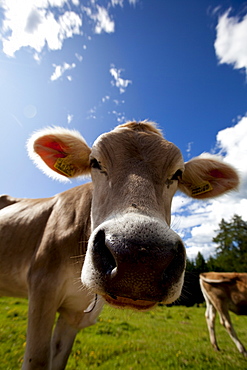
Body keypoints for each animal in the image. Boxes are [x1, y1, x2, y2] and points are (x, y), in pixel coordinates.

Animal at [0, 120, 239, 368]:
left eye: (177, 173)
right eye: (94, 162)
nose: (140, 261)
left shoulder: (74, 313)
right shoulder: (42, 287)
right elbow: (36, 358)